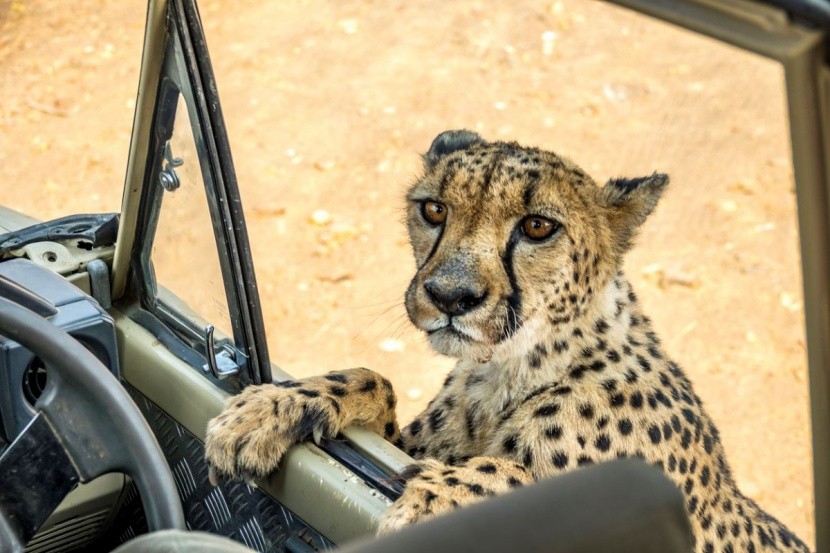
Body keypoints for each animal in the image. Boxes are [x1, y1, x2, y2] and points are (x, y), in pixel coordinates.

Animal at [206, 130, 812, 552]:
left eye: (538, 226)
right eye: (434, 209)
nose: (451, 296)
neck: (509, 368)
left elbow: (520, 474)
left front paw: (437, 501)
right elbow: (375, 381)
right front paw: (274, 406)